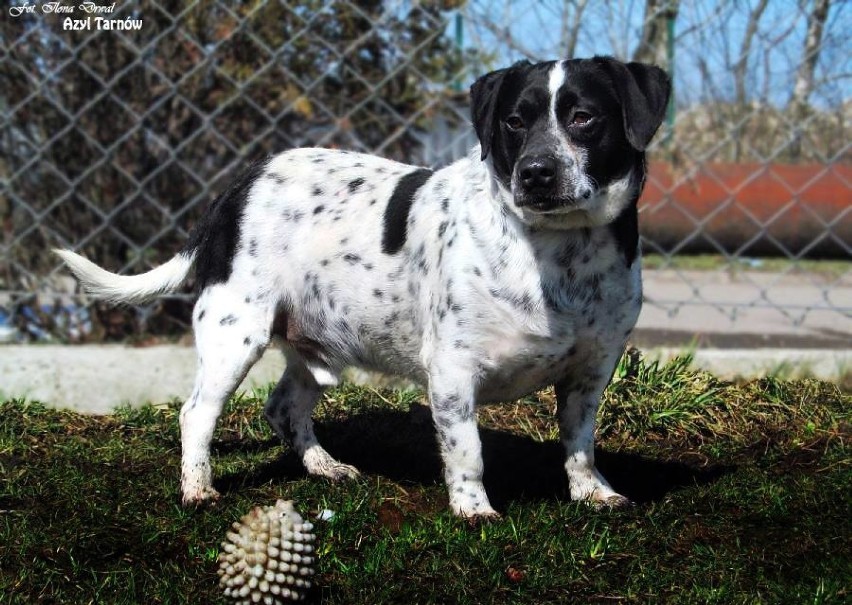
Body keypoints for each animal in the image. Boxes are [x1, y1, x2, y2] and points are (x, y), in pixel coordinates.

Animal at [58, 55, 672, 520]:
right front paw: (474, 511)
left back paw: (323, 465)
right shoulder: (453, 373)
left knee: (283, 408)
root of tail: (237, 186)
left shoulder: (590, 374)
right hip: (235, 336)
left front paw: (593, 493)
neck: (559, 252)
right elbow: (467, 451)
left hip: (311, 346)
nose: (536, 173)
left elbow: (580, 445)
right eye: (515, 123)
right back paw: (198, 488)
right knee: (195, 415)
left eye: (584, 118)